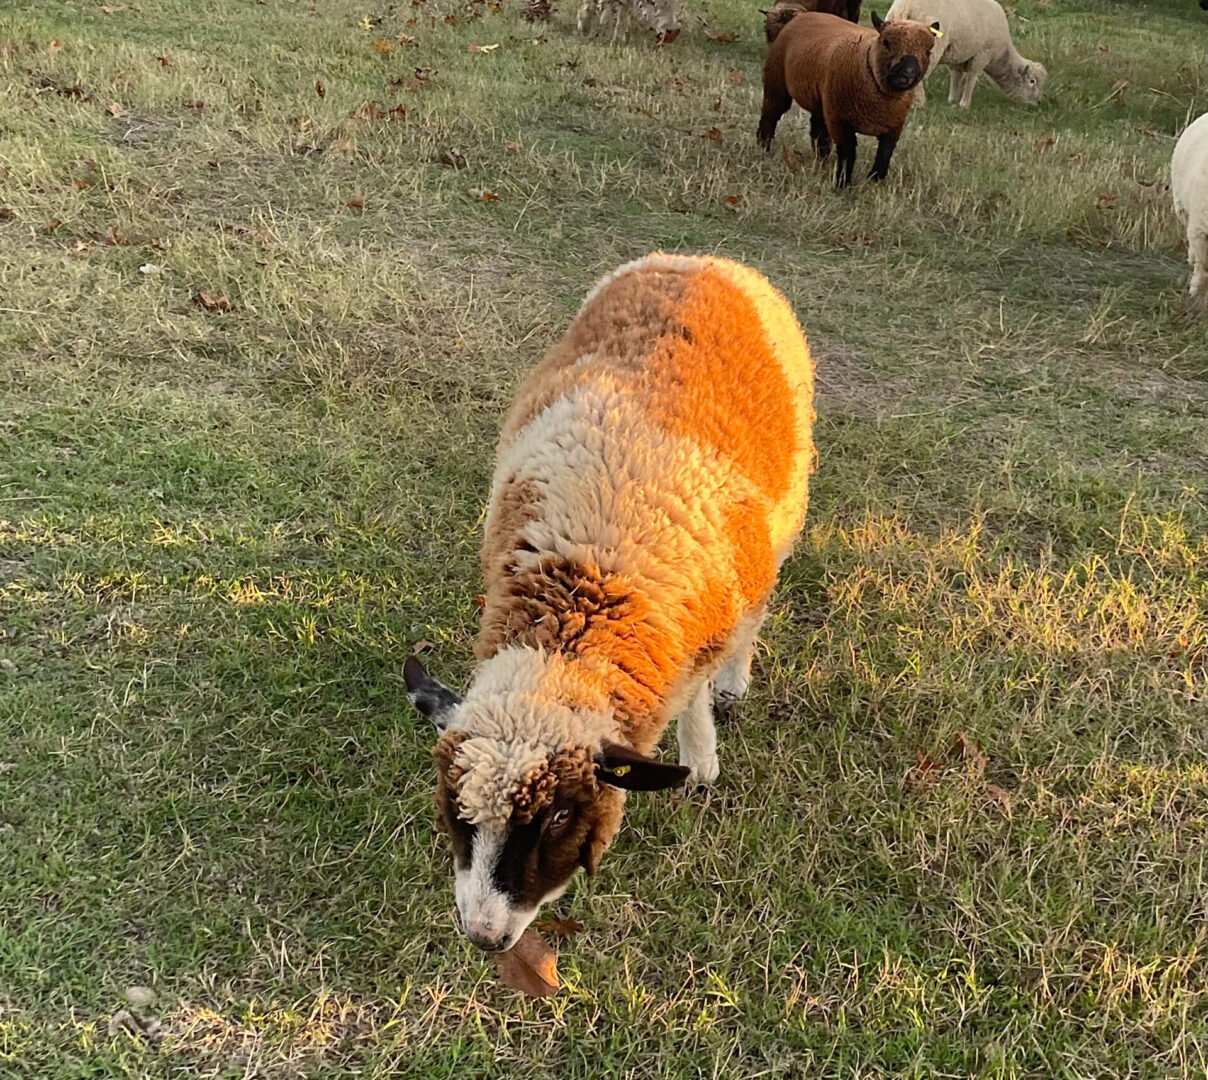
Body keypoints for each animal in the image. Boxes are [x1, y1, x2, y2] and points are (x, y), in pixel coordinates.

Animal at [403, 253, 811, 956]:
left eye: (561, 814)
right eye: (457, 809)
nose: (485, 937)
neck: (584, 593)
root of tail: (701, 257)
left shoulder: (705, 622)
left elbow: (696, 693)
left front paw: (701, 760)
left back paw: (736, 682)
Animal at [753, 10, 942, 188]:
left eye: (928, 51)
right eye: (886, 43)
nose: (908, 75)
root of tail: (805, 14)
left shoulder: (894, 126)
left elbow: (885, 153)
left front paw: (875, 180)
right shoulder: (840, 120)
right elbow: (848, 152)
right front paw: (842, 184)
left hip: (822, 98)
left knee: (817, 128)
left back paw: (822, 160)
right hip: (777, 82)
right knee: (770, 114)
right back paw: (763, 146)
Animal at [884, 0, 1043, 107]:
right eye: (1032, 81)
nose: (1038, 102)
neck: (1001, 54)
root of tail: (905, 7)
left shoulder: (958, 55)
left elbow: (956, 76)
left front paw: (952, 100)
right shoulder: (982, 54)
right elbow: (972, 77)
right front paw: (964, 104)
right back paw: (919, 103)